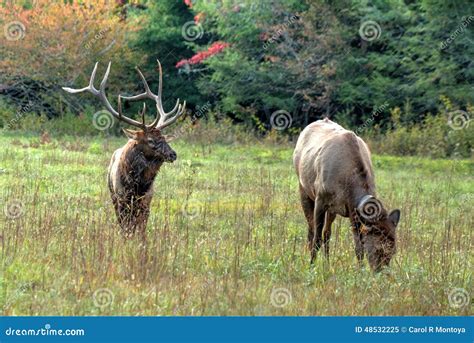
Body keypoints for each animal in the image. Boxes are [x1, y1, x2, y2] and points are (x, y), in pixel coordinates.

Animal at [64, 60, 186, 238]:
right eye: (150, 140)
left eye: (164, 138)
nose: (173, 154)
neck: (137, 187)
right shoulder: (121, 198)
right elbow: (125, 227)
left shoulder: (147, 200)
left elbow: (141, 228)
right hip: (113, 195)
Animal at [292, 118, 400, 272]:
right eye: (379, 248)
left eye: (394, 250)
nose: (381, 272)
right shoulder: (320, 200)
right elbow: (316, 238)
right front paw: (311, 266)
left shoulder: (352, 211)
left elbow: (358, 247)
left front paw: (360, 271)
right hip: (304, 189)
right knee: (311, 231)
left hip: (332, 209)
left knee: (327, 233)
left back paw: (327, 263)